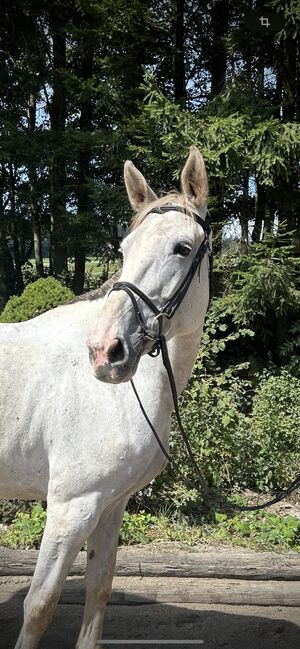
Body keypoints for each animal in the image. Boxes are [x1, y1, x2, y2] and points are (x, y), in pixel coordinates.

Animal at [0, 144, 211, 644]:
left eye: (182, 248)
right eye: (124, 249)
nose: (105, 352)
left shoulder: (111, 506)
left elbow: (98, 591)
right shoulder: (70, 509)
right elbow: (40, 605)